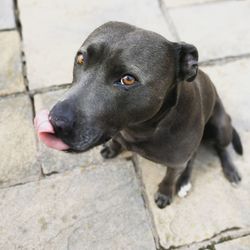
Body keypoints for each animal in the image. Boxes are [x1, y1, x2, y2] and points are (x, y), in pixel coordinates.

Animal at [36, 22, 243, 209]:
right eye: (80, 59)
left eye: (128, 79)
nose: (55, 121)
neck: (139, 129)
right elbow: (116, 140)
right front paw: (112, 148)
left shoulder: (175, 163)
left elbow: (169, 178)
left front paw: (164, 193)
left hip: (221, 126)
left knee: (219, 148)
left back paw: (225, 172)